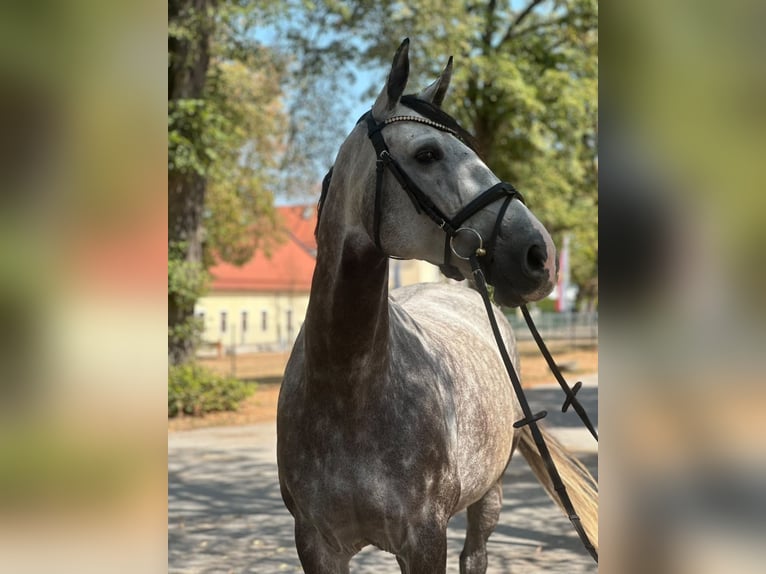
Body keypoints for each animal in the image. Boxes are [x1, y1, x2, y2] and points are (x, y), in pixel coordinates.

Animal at [277, 39, 597, 573]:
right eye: (427, 153)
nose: (541, 254)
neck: (347, 389)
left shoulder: (425, 540)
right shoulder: (317, 545)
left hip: (489, 496)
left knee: (477, 555)